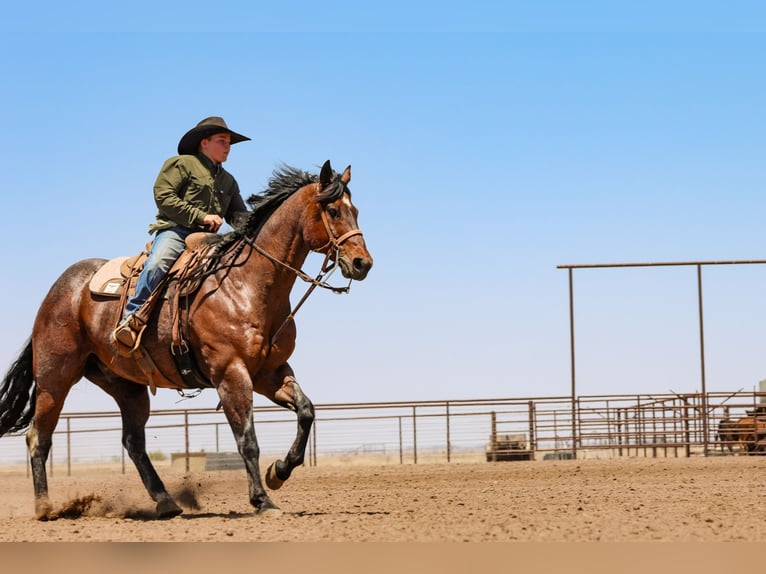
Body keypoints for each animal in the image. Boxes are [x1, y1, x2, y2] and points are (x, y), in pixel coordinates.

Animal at [0, 160, 373, 519]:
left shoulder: (270, 372)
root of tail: (59, 291)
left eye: (355, 210)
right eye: (334, 211)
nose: (362, 263)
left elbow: (306, 412)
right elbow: (247, 441)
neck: (245, 285)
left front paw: (277, 473)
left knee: (133, 442)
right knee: (39, 437)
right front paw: (263, 501)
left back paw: (166, 502)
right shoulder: (230, 374)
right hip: (55, 377)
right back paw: (45, 508)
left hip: (126, 386)